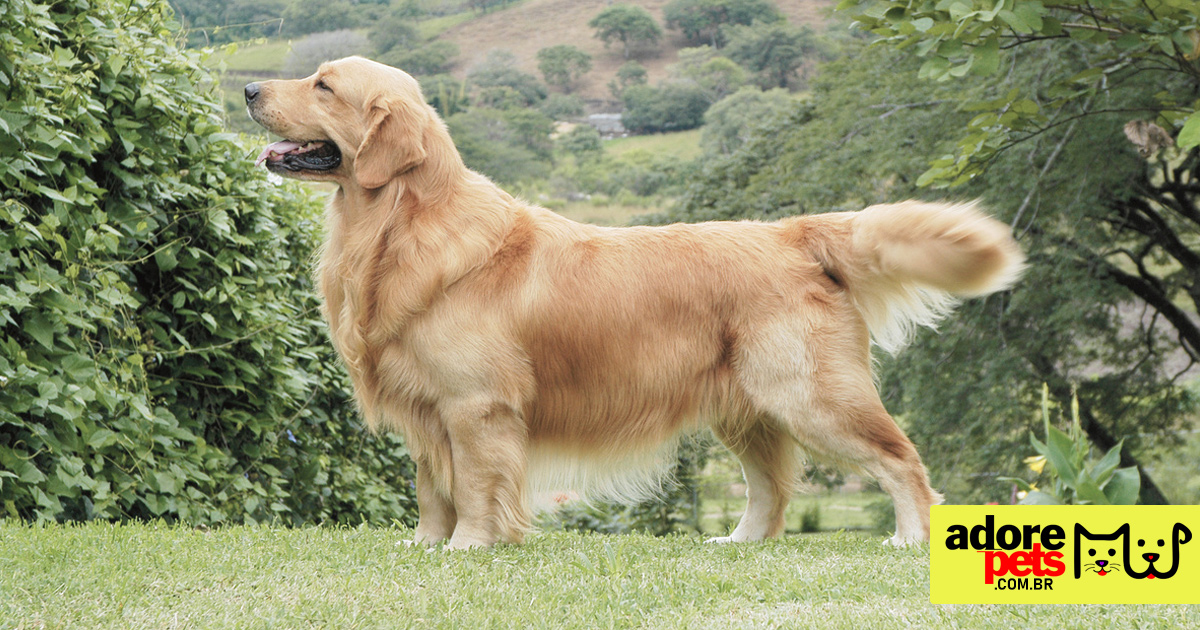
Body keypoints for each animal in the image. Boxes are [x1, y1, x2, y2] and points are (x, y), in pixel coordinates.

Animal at [243, 56, 1022, 547]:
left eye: (323, 85)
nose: (248, 87)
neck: (400, 226)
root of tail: (793, 231)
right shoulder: (426, 409)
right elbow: (433, 489)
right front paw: (425, 546)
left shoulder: (475, 406)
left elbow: (476, 486)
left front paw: (469, 546)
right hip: (750, 406)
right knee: (769, 489)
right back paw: (737, 542)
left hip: (809, 394)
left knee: (901, 461)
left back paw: (908, 537)